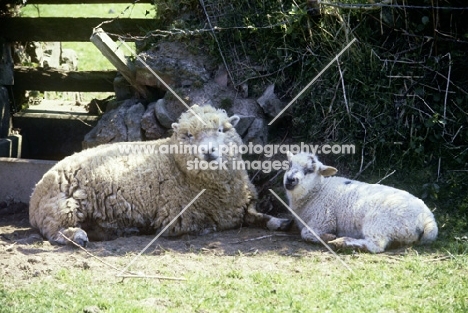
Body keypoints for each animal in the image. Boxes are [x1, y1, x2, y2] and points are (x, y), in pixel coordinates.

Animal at [29, 105, 290, 246]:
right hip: (63, 207)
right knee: (54, 231)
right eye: (188, 135)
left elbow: (258, 215)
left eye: (220, 130)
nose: (209, 152)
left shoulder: (242, 205)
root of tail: (35, 194)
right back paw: (77, 236)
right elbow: (205, 225)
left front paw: (279, 221)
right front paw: (207, 229)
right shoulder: (175, 219)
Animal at [282, 150, 438, 252]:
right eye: (289, 165)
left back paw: (343, 242)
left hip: (379, 223)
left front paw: (327, 237)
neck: (317, 192)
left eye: (310, 170)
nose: (290, 180)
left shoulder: (324, 220)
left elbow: (306, 234)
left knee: (375, 246)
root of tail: (428, 220)